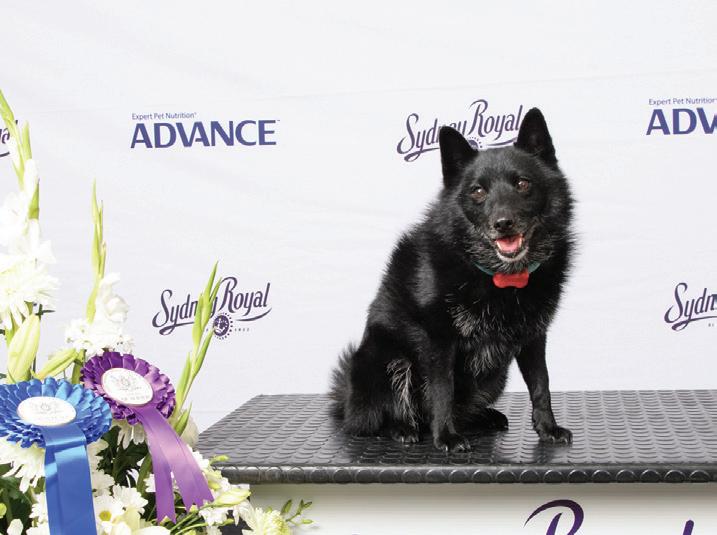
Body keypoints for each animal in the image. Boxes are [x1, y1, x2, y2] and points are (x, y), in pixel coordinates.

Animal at [329, 108, 574, 451]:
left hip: (493, 377)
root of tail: (347, 402)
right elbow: (442, 389)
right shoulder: (438, 339)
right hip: (389, 358)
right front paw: (445, 435)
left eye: (523, 183)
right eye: (478, 191)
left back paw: (484, 417)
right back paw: (404, 429)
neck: (501, 278)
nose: (503, 223)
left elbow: (541, 384)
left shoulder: (534, 336)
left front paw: (548, 428)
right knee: (380, 418)